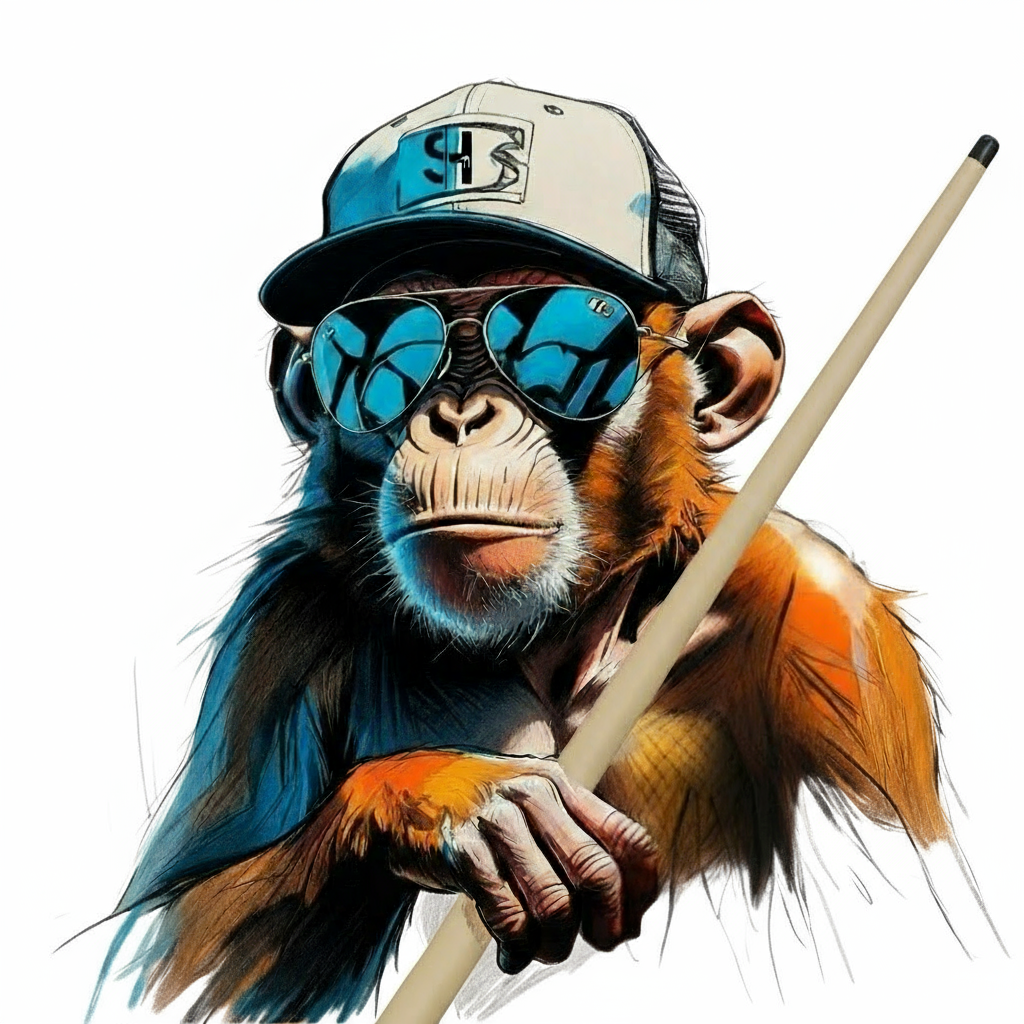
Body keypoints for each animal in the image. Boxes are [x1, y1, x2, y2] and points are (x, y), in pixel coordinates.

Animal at [95, 84, 949, 1023]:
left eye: (560, 335)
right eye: (376, 350)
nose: (460, 415)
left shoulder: (832, 624)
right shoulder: (278, 627)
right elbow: (177, 944)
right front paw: (454, 798)